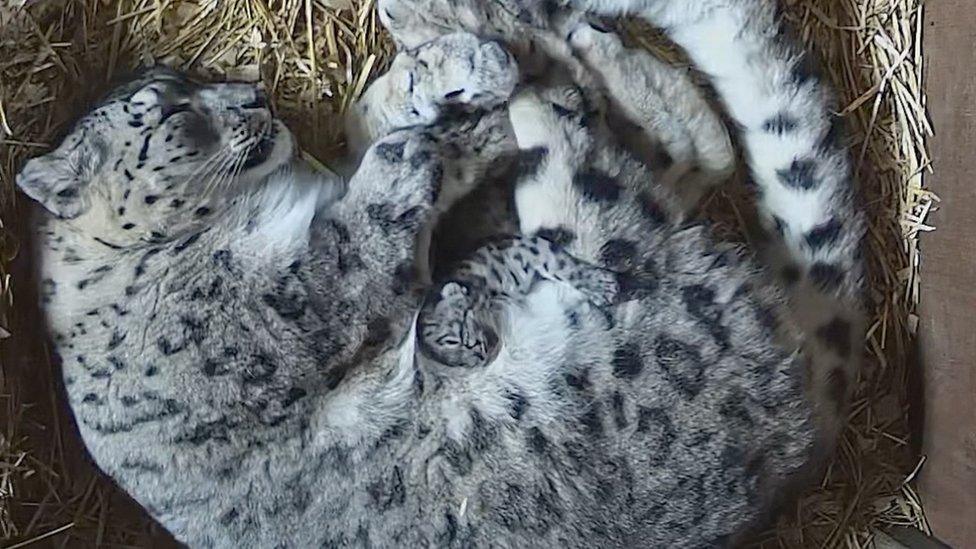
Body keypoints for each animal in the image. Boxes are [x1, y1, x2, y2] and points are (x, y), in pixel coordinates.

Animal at [19, 3, 864, 548]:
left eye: (201, 76)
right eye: (171, 110)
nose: (254, 93)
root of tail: (797, 424)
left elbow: (370, 120)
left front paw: (437, 85)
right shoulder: (284, 307)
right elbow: (363, 231)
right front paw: (438, 125)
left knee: (686, 147)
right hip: (601, 251)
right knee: (579, 123)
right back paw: (501, 35)